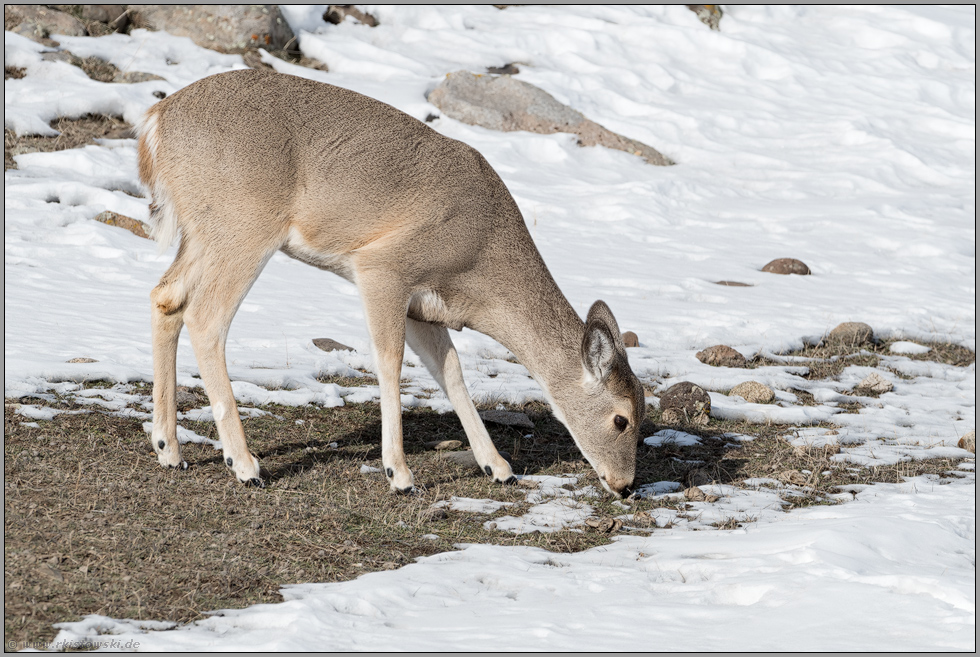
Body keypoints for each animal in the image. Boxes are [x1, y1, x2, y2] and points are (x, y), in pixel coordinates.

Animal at [136, 68, 644, 498]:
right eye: (622, 420)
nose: (625, 486)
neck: (482, 259)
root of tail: (156, 121)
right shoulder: (383, 267)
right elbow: (390, 362)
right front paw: (398, 473)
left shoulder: (425, 308)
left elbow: (451, 373)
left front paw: (497, 467)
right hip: (244, 224)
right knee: (206, 318)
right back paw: (244, 464)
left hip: (203, 233)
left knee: (165, 297)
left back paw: (169, 450)